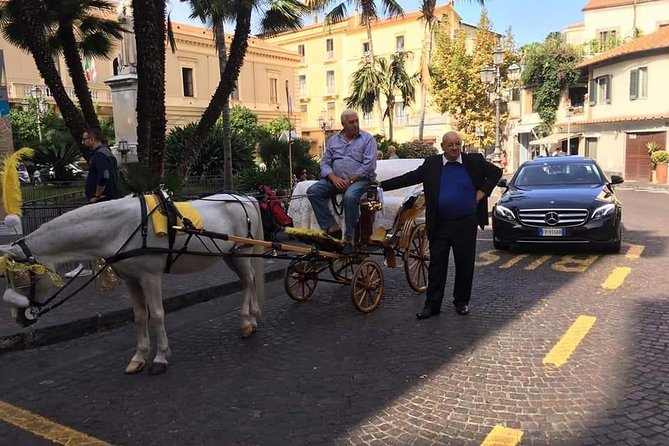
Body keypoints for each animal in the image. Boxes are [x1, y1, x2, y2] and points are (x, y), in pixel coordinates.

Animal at [0, 193, 266, 374]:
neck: (122, 229)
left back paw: (246, 321)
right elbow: (139, 316)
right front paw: (139, 356)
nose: (18, 317)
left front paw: (160, 357)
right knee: (250, 280)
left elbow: (156, 314)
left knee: (248, 281)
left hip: (242, 253)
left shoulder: (151, 277)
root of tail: (244, 197)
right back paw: (252, 318)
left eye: (21, 277)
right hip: (232, 255)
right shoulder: (131, 280)